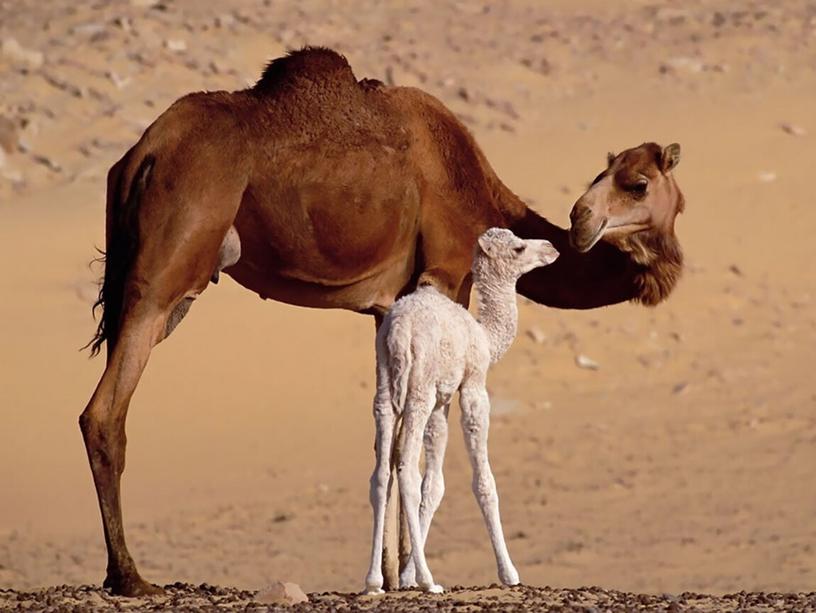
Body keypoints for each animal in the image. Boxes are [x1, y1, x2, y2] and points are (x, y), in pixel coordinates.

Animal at [364, 227, 560, 592]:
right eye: (518, 247)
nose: (552, 248)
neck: (484, 335)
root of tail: (400, 330)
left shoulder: (442, 401)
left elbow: (435, 485)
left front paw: (407, 577)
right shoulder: (472, 387)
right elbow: (484, 482)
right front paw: (509, 573)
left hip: (385, 386)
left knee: (381, 473)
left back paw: (373, 581)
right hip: (418, 389)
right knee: (406, 469)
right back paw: (430, 581)